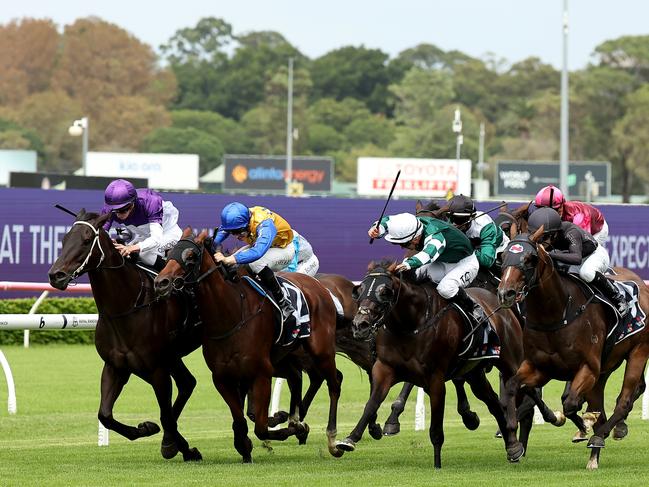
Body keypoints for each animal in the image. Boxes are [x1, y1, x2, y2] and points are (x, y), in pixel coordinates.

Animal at [48, 210, 201, 462]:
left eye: (87, 240)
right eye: (64, 239)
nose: (56, 275)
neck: (126, 308)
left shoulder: (156, 369)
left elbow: (165, 415)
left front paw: (176, 445)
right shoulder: (116, 366)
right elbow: (105, 415)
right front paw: (147, 429)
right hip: (172, 358)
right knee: (188, 383)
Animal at [154, 229, 342, 462]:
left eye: (191, 256)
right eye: (168, 253)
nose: (161, 282)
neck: (231, 315)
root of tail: (318, 285)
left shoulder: (260, 374)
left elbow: (260, 428)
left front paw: (293, 428)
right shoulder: (223, 377)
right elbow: (240, 420)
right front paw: (245, 447)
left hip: (321, 351)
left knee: (333, 385)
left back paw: (333, 441)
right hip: (285, 355)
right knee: (297, 378)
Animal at [334, 264, 560, 468]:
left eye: (384, 291)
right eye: (359, 290)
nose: (360, 325)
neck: (410, 325)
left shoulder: (436, 378)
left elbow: (436, 427)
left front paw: (437, 464)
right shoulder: (385, 369)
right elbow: (371, 404)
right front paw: (350, 439)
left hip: (510, 361)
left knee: (526, 389)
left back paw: (551, 418)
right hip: (474, 374)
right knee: (494, 403)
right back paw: (512, 445)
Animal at [496, 231, 648, 470]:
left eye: (529, 259)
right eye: (502, 257)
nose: (505, 293)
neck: (557, 314)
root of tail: (642, 283)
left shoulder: (588, 368)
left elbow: (570, 403)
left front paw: (584, 425)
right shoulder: (539, 368)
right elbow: (512, 387)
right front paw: (513, 445)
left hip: (638, 351)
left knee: (624, 400)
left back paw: (600, 436)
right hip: (605, 369)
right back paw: (595, 453)